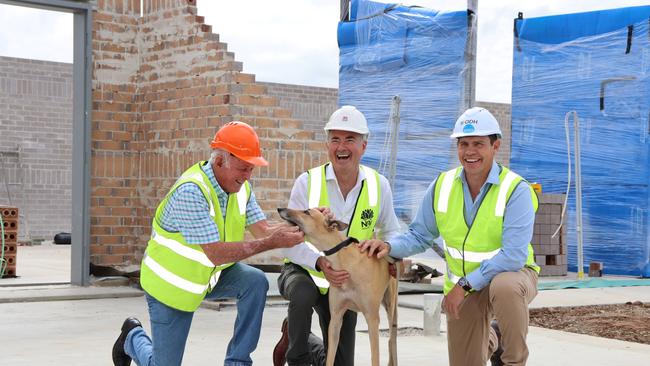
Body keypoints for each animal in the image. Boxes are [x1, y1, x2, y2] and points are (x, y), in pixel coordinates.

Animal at [274, 207, 394, 364]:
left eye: (307, 212)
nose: (280, 208)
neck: (344, 260)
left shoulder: (372, 319)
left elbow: (375, 357)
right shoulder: (336, 319)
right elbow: (330, 355)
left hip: (390, 308)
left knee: (392, 341)